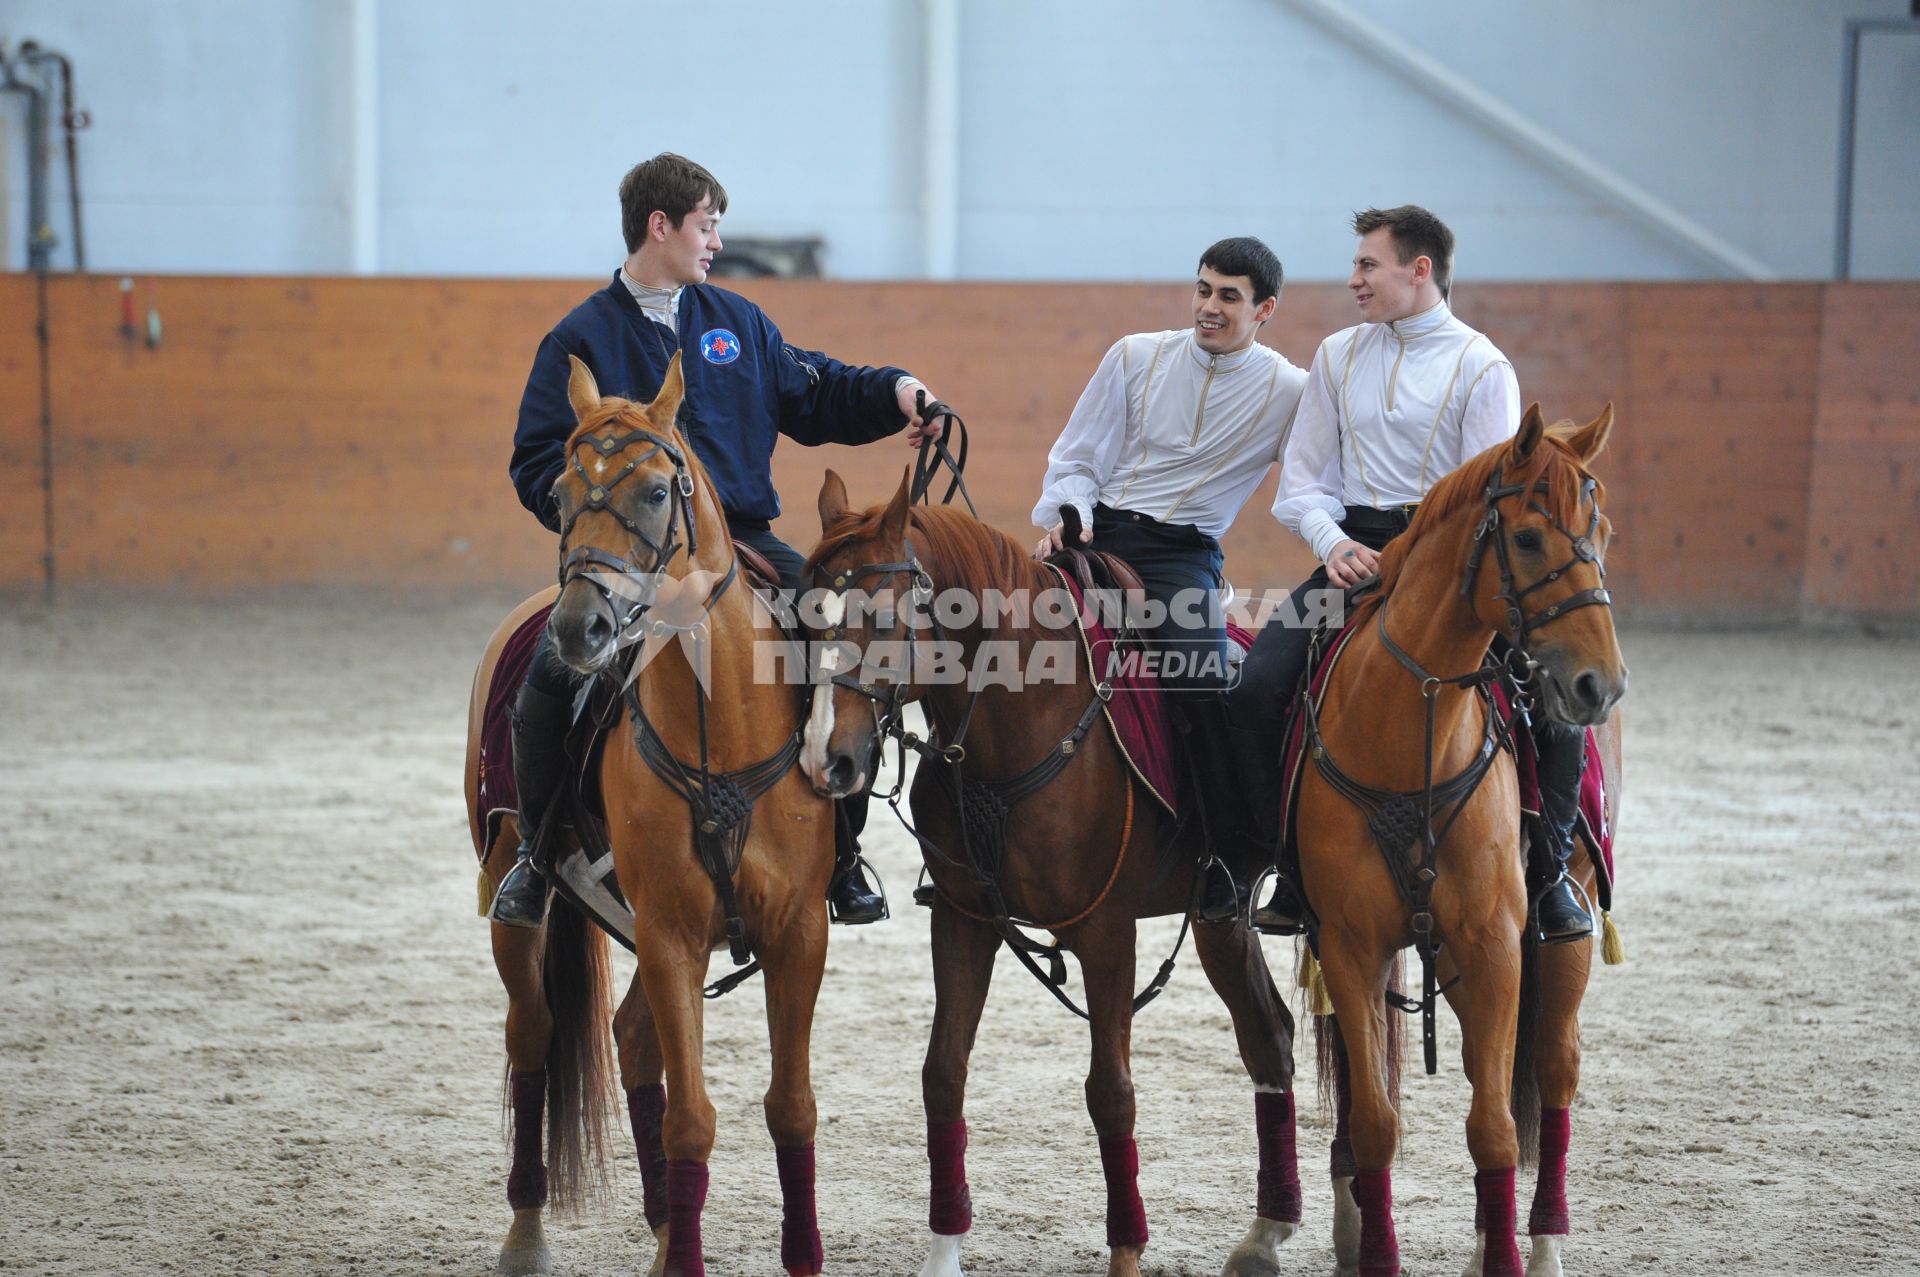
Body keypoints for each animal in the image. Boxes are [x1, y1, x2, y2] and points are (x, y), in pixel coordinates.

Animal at [464, 351, 833, 1275]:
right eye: (559, 491)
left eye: (658, 490)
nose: (582, 628)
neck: (720, 722)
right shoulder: (670, 928)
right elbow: (692, 1117)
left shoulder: (796, 930)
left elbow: (791, 1104)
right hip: (518, 891)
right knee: (533, 1034)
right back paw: (527, 1232)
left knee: (631, 1039)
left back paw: (669, 1219)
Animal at [794, 472, 1305, 1275]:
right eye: (805, 618)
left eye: (878, 615)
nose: (826, 759)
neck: (1024, 719)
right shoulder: (964, 920)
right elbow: (943, 1073)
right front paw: (944, 1251)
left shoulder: (1106, 932)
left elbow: (1112, 1092)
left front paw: (1126, 1251)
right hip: (1220, 919)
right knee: (1269, 1038)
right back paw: (1266, 1233)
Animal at [1297, 401, 1628, 1275]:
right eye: (1528, 538)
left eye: (1603, 530)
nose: (1601, 684)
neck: (1407, 730)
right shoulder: (1351, 945)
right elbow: (1376, 1118)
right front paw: (1374, 1250)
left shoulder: (1494, 944)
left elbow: (1496, 1130)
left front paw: (1509, 1253)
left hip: (1561, 932)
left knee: (1551, 1072)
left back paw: (1538, 1240)